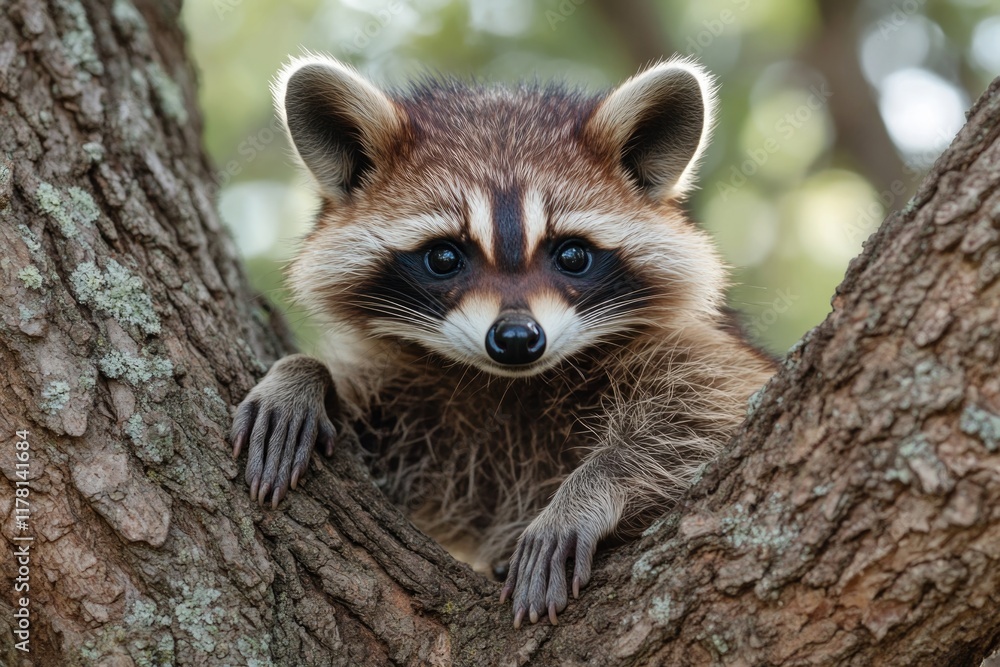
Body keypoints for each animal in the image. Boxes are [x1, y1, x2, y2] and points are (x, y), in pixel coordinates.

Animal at [230, 54, 776, 628]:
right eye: (444, 257)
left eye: (572, 255)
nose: (516, 339)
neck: (510, 383)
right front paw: (303, 375)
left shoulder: (699, 350)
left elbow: (710, 412)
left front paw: (589, 489)